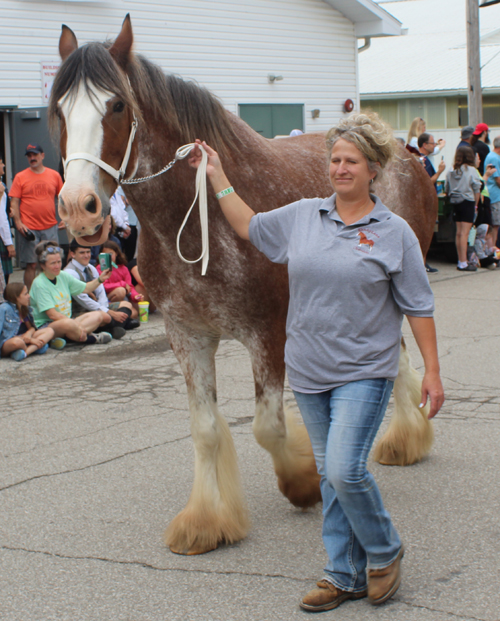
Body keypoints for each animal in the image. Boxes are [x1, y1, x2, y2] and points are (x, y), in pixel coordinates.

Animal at [49, 14, 438, 556]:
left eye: (117, 105)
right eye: (59, 109)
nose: (78, 208)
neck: (197, 219)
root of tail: (401, 153)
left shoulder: (266, 334)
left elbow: (268, 427)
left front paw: (303, 481)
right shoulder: (188, 337)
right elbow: (206, 429)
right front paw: (207, 521)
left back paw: (401, 439)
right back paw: (404, 440)